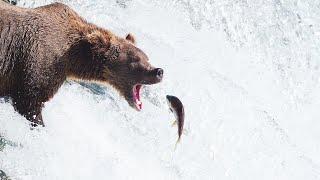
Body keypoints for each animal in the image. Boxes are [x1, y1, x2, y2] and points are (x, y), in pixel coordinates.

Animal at [0, 1, 164, 126]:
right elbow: (30, 102)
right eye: (135, 60)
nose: (158, 71)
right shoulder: (37, 63)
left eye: (147, 58)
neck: (72, 58)